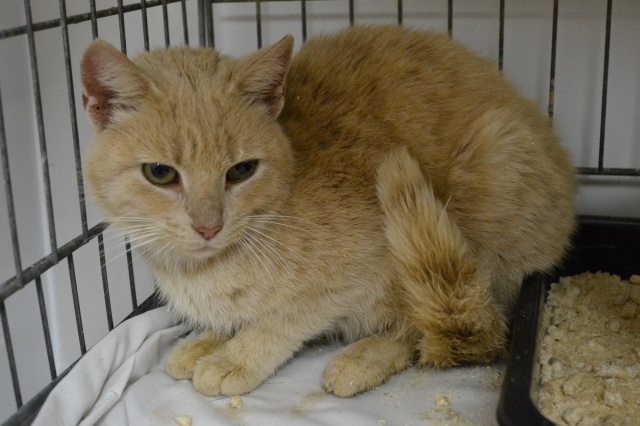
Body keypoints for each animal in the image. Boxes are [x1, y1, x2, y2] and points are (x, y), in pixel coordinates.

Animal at [80, 25, 575, 398]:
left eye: (241, 170)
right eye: (160, 173)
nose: (208, 227)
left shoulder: (358, 272)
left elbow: (283, 318)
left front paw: (237, 357)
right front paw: (208, 339)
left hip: (491, 173)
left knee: (461, 324)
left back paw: (363, 357)